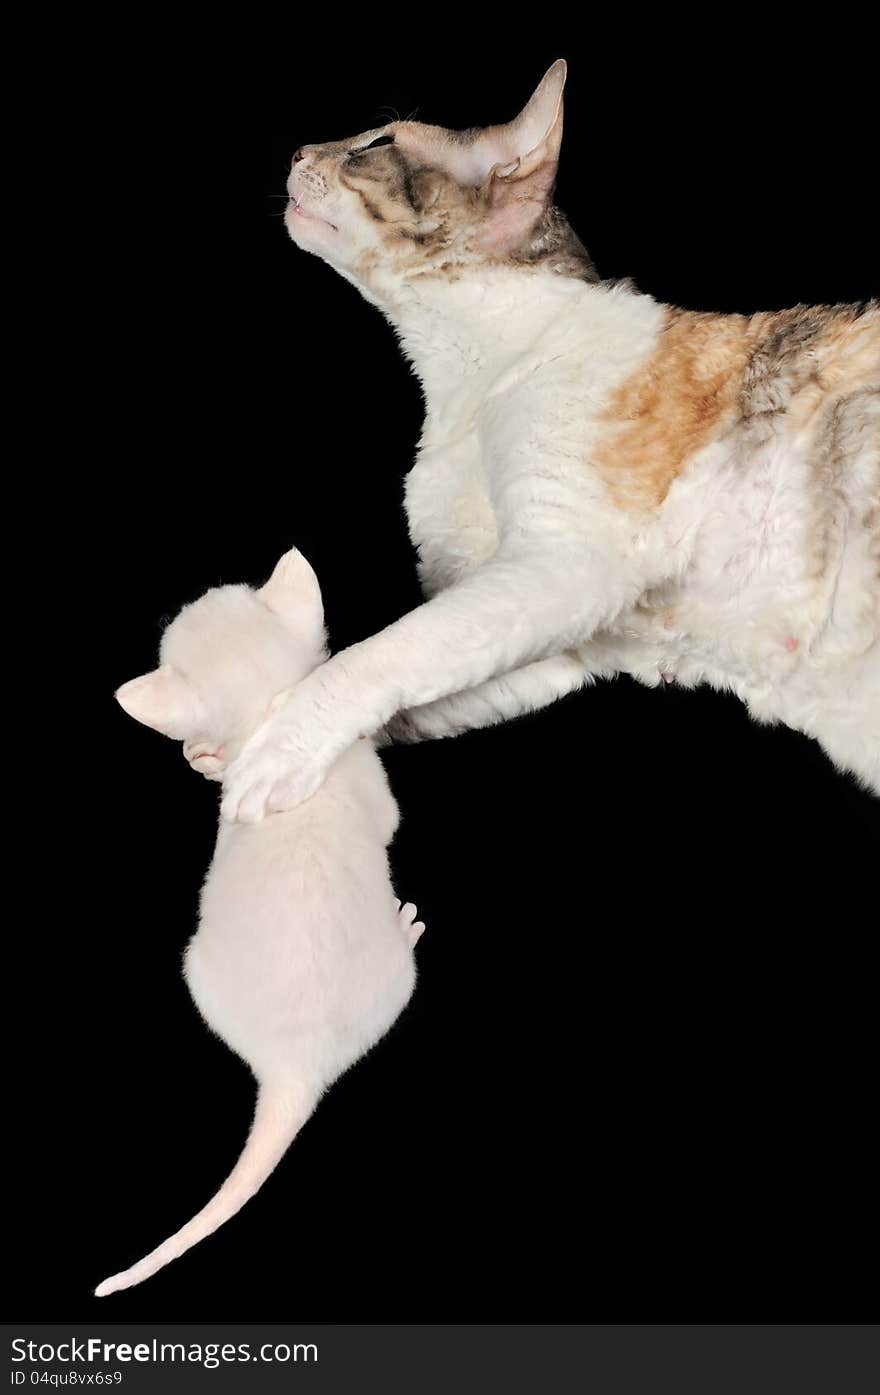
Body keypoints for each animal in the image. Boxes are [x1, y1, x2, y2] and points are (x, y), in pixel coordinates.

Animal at [96, 546, 423, 1294]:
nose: (181, 599)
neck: (273, 724)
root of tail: (293, 1066)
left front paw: (208, 761)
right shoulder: (367, 784)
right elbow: (388, 820)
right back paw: (407, 926)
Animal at [221, 57, 880, 814]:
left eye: (376, 144)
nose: (298, 151)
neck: (470, 383)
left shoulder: (564, 562)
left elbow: (382, 654)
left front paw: (274, 746)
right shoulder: (556, 642)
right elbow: (412, 685)